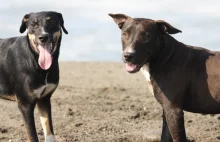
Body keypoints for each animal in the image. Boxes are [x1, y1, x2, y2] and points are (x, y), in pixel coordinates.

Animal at [0, 11, 67, 141]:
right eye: (33, 24)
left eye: (52, 21)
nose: (43, 37)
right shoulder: (25, 104)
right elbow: (32, 135)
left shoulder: (44, 99)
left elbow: (49, 133)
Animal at [108, 13, 220, 141]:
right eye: (124, 34)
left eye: (146, 36)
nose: (128, 55)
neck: (165, 55)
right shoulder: (166, 109)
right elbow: (165, 135)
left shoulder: (173, 109)